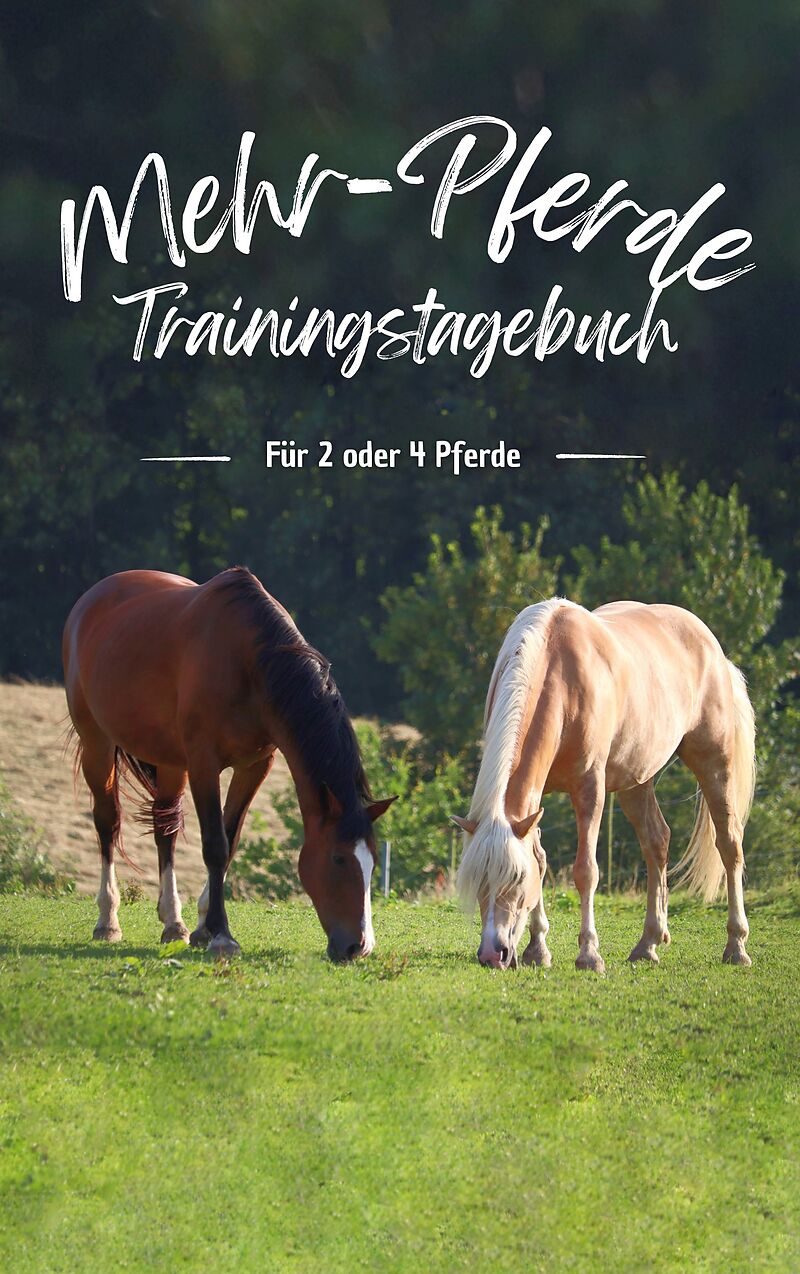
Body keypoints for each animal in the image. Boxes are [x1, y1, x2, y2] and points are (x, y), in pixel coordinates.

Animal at [62, 567, 395, 959]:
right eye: (338, 859)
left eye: (372, 862)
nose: (359, 946)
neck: (249, 663)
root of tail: (91, 599)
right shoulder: (204, 764)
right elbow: (215, 845)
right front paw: (221, 935)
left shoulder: (254, 766)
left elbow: (230, 840)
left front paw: (203, 927)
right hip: (97, 744)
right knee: (107, 822)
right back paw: (108, 920)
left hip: (170, 762)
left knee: (165, 830)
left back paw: (173, 922)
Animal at [452, 599, 756, 972]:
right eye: (478, 881)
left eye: (517, 879)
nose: (492, 954)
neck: (560, 673)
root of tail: (712, 647)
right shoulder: (534, 801)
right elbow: (540, 859)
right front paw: (538, 949)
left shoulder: (589, 789)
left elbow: (586, 871)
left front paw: (589, 954)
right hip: (636, 780)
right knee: (657, 842)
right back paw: (648, 943)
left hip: (714, 762)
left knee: (729, 844)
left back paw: (736, 946)